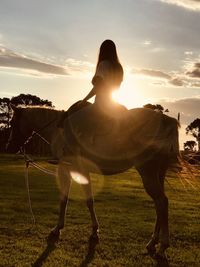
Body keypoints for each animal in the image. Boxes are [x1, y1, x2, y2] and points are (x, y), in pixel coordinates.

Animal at [7, 102, 180, 260]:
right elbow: (88, 201)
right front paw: (94, 231)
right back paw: (153, 242)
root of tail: (166, 121)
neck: (59, 130)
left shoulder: (66, 169)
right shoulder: (81, 171)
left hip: (147, 172)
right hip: (158, 173)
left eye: (13, 123)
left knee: (161, 202)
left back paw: (163, 246)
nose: (9, 147)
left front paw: (58, 229)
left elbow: (66, 199)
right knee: (160, 204)